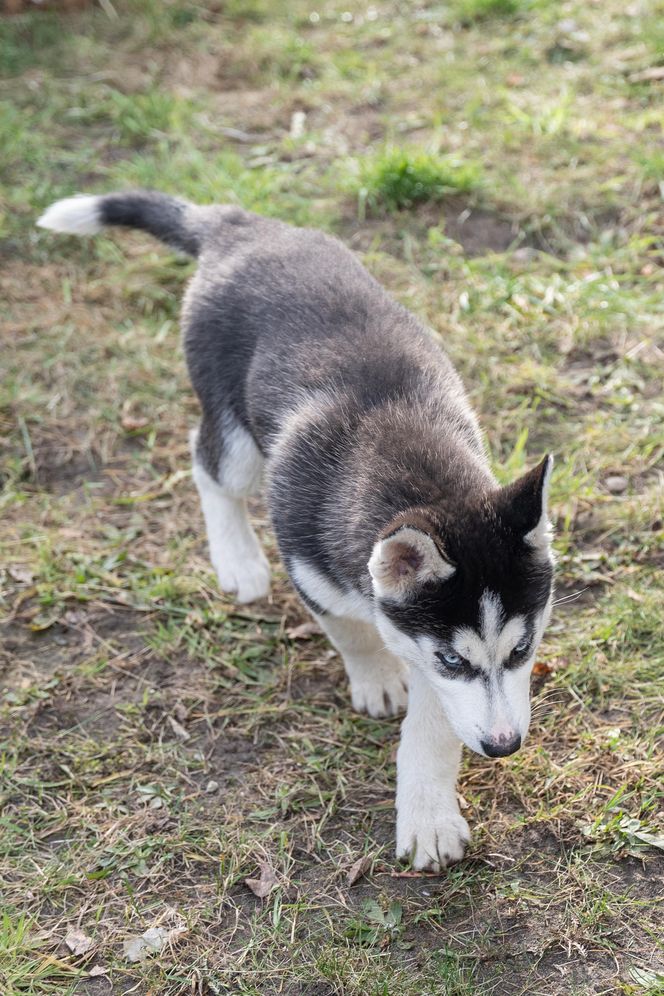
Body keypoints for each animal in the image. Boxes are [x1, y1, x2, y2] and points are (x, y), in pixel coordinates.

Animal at [37, 193, 556, 872]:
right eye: (453, 658)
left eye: (522, 650)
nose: (503, 745)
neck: (417, 479)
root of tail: (242, 226)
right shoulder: (326, 583)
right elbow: (353, 636)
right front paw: (375, 680)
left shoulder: (417, 639)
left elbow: (434, 726)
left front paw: (429, 816)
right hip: (234, 432)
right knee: (205, 462)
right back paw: (238, 561)